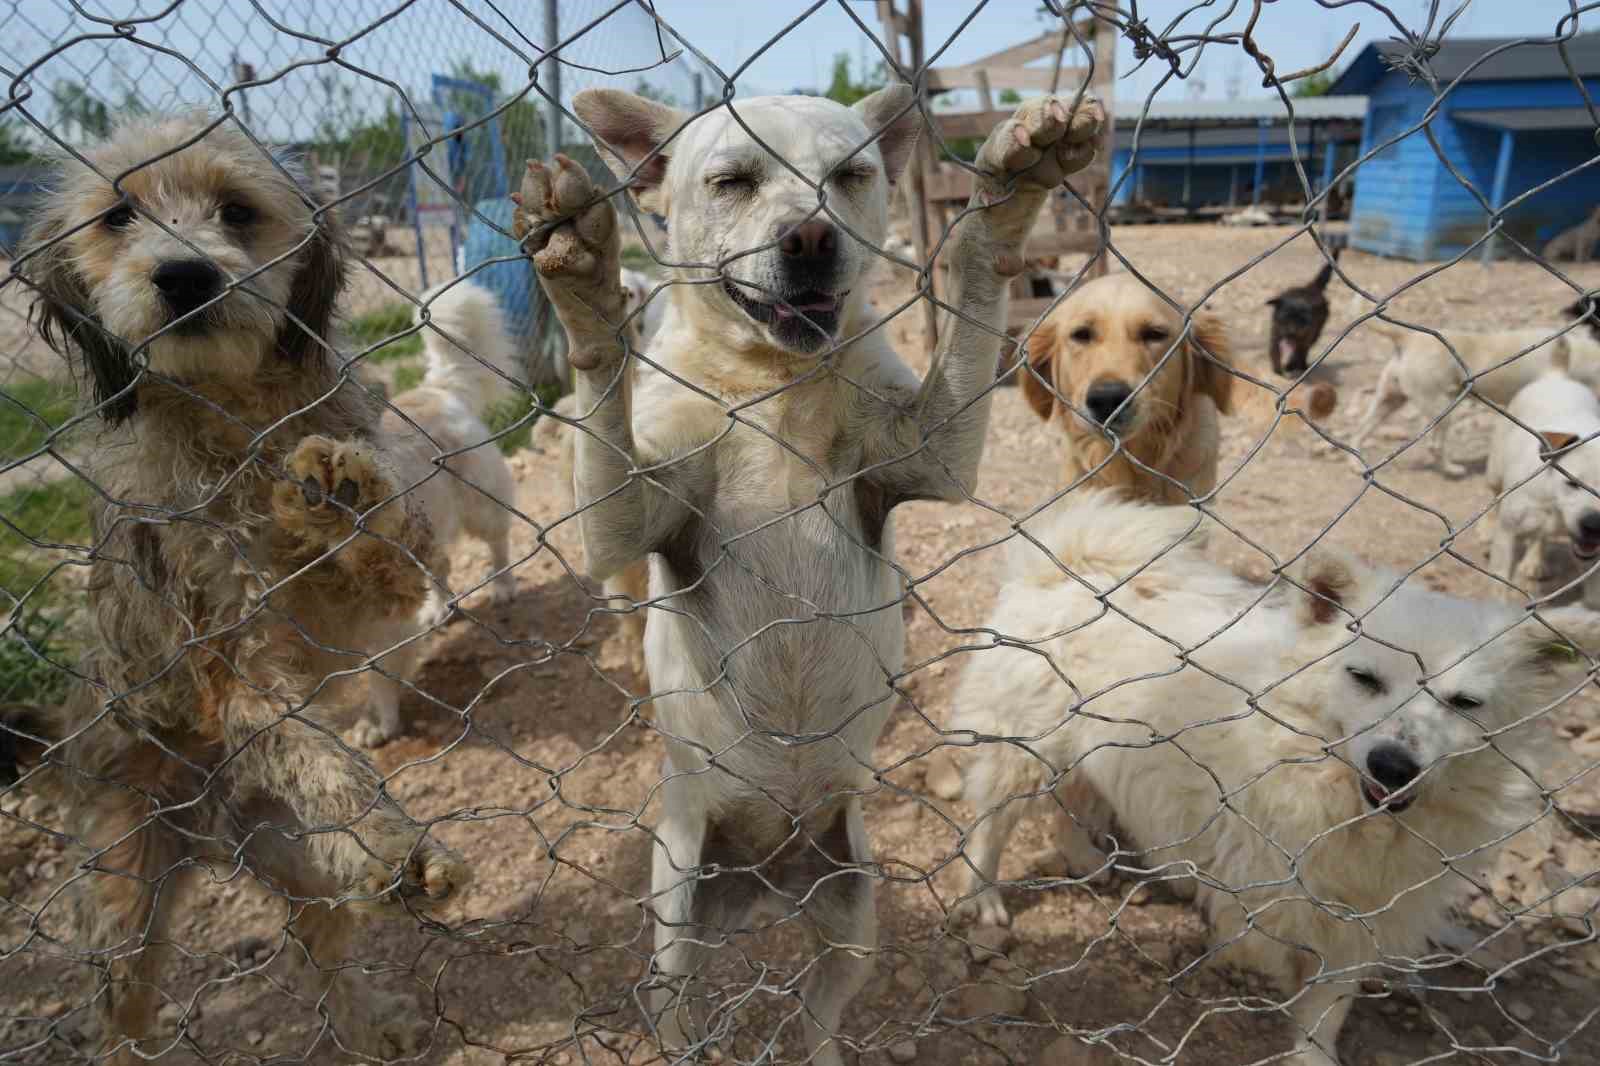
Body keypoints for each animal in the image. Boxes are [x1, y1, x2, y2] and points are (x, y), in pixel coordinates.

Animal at [9, 112, 467, 1056]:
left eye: (237, 210)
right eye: (118, 216)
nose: (185, 275)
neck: (234, 419)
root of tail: (208, 827)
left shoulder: (368, 599)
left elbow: (393, 552)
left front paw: (342, 495)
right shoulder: (233, 657)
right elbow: (312, 746)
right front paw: (391, 838)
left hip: (292, 853)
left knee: (323, 949)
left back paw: (369, 1018)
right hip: (124, 904)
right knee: (122, 1020)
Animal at [940, 486, 1593, 1062]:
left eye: (1465, 703)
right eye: (1364, 678)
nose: (1392, 764)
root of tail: (1073, 564)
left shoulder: (1361, 918)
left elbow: (1328, 1007)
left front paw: (1313, 1055)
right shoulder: (1279, 886)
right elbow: (1268, 941)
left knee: (1073, 799)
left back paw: (1083, 859)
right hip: (1025, 748)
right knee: (991, 824)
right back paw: (983, 896)